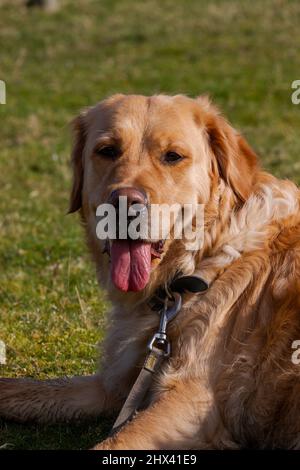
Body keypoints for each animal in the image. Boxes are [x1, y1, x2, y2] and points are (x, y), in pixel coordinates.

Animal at [0, 93, 300, 450]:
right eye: (108, 150)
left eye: (173, 156)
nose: (126, 203)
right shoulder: (119, 384)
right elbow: (26, 387)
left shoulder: (194, 403)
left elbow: (113, 443)